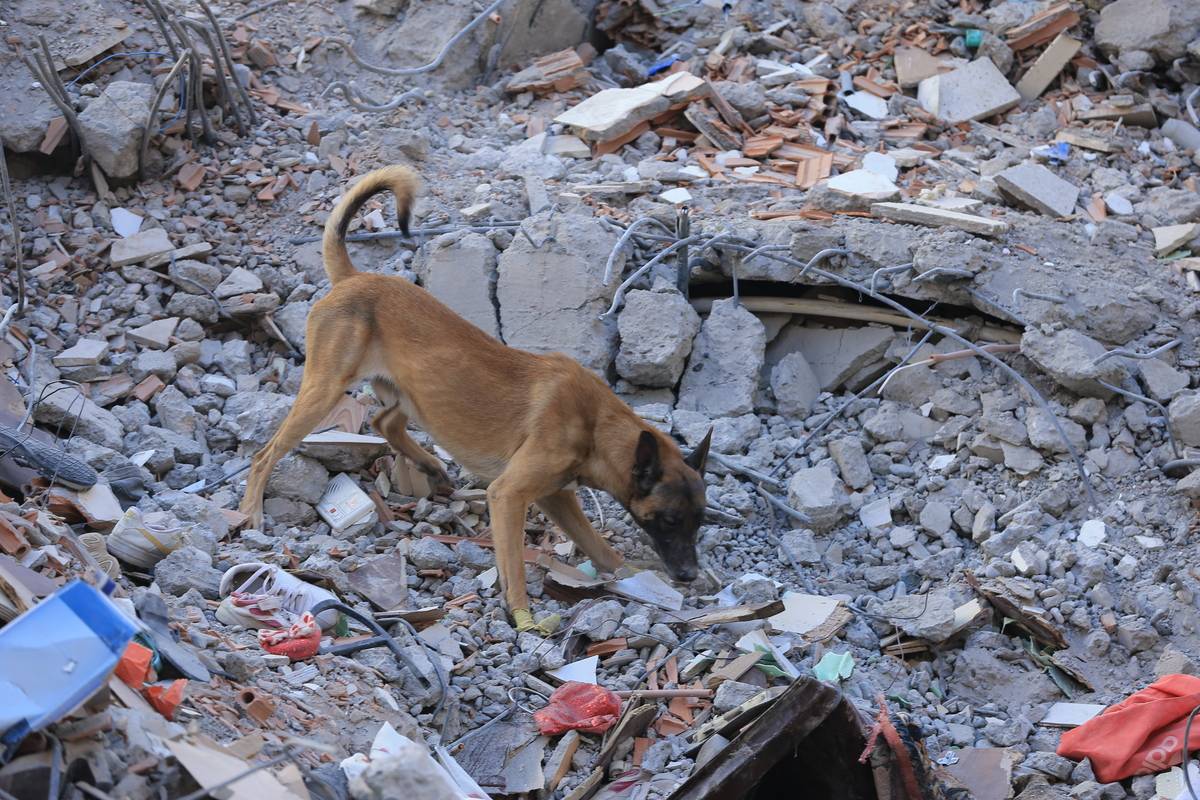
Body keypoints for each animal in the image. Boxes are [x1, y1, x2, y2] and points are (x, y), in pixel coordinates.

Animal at [241, 164, 710, 623]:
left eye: (698, 521)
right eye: (669, 520)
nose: (689, 575)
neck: (596, 424)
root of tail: (353, 278)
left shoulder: (557, 495)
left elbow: (602, 550)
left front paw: (635, 578)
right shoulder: (510, 495)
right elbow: (515, 564)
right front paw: (523, 617)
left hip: (410, 395)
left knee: (383, 420)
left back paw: (430, 465)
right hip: (324, 392)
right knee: (265, 454)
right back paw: (251, 513)